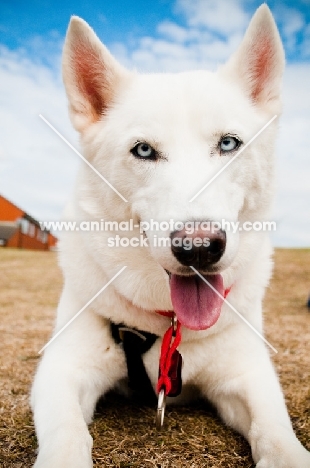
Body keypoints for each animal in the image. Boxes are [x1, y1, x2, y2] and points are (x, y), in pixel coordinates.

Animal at [31, 4, 310, 468]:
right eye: (144, 150)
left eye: (228, 143)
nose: (198, 248)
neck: (171, 327)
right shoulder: (60, 372)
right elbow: (66, 438)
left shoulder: (248, 376)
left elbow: (277, 435)